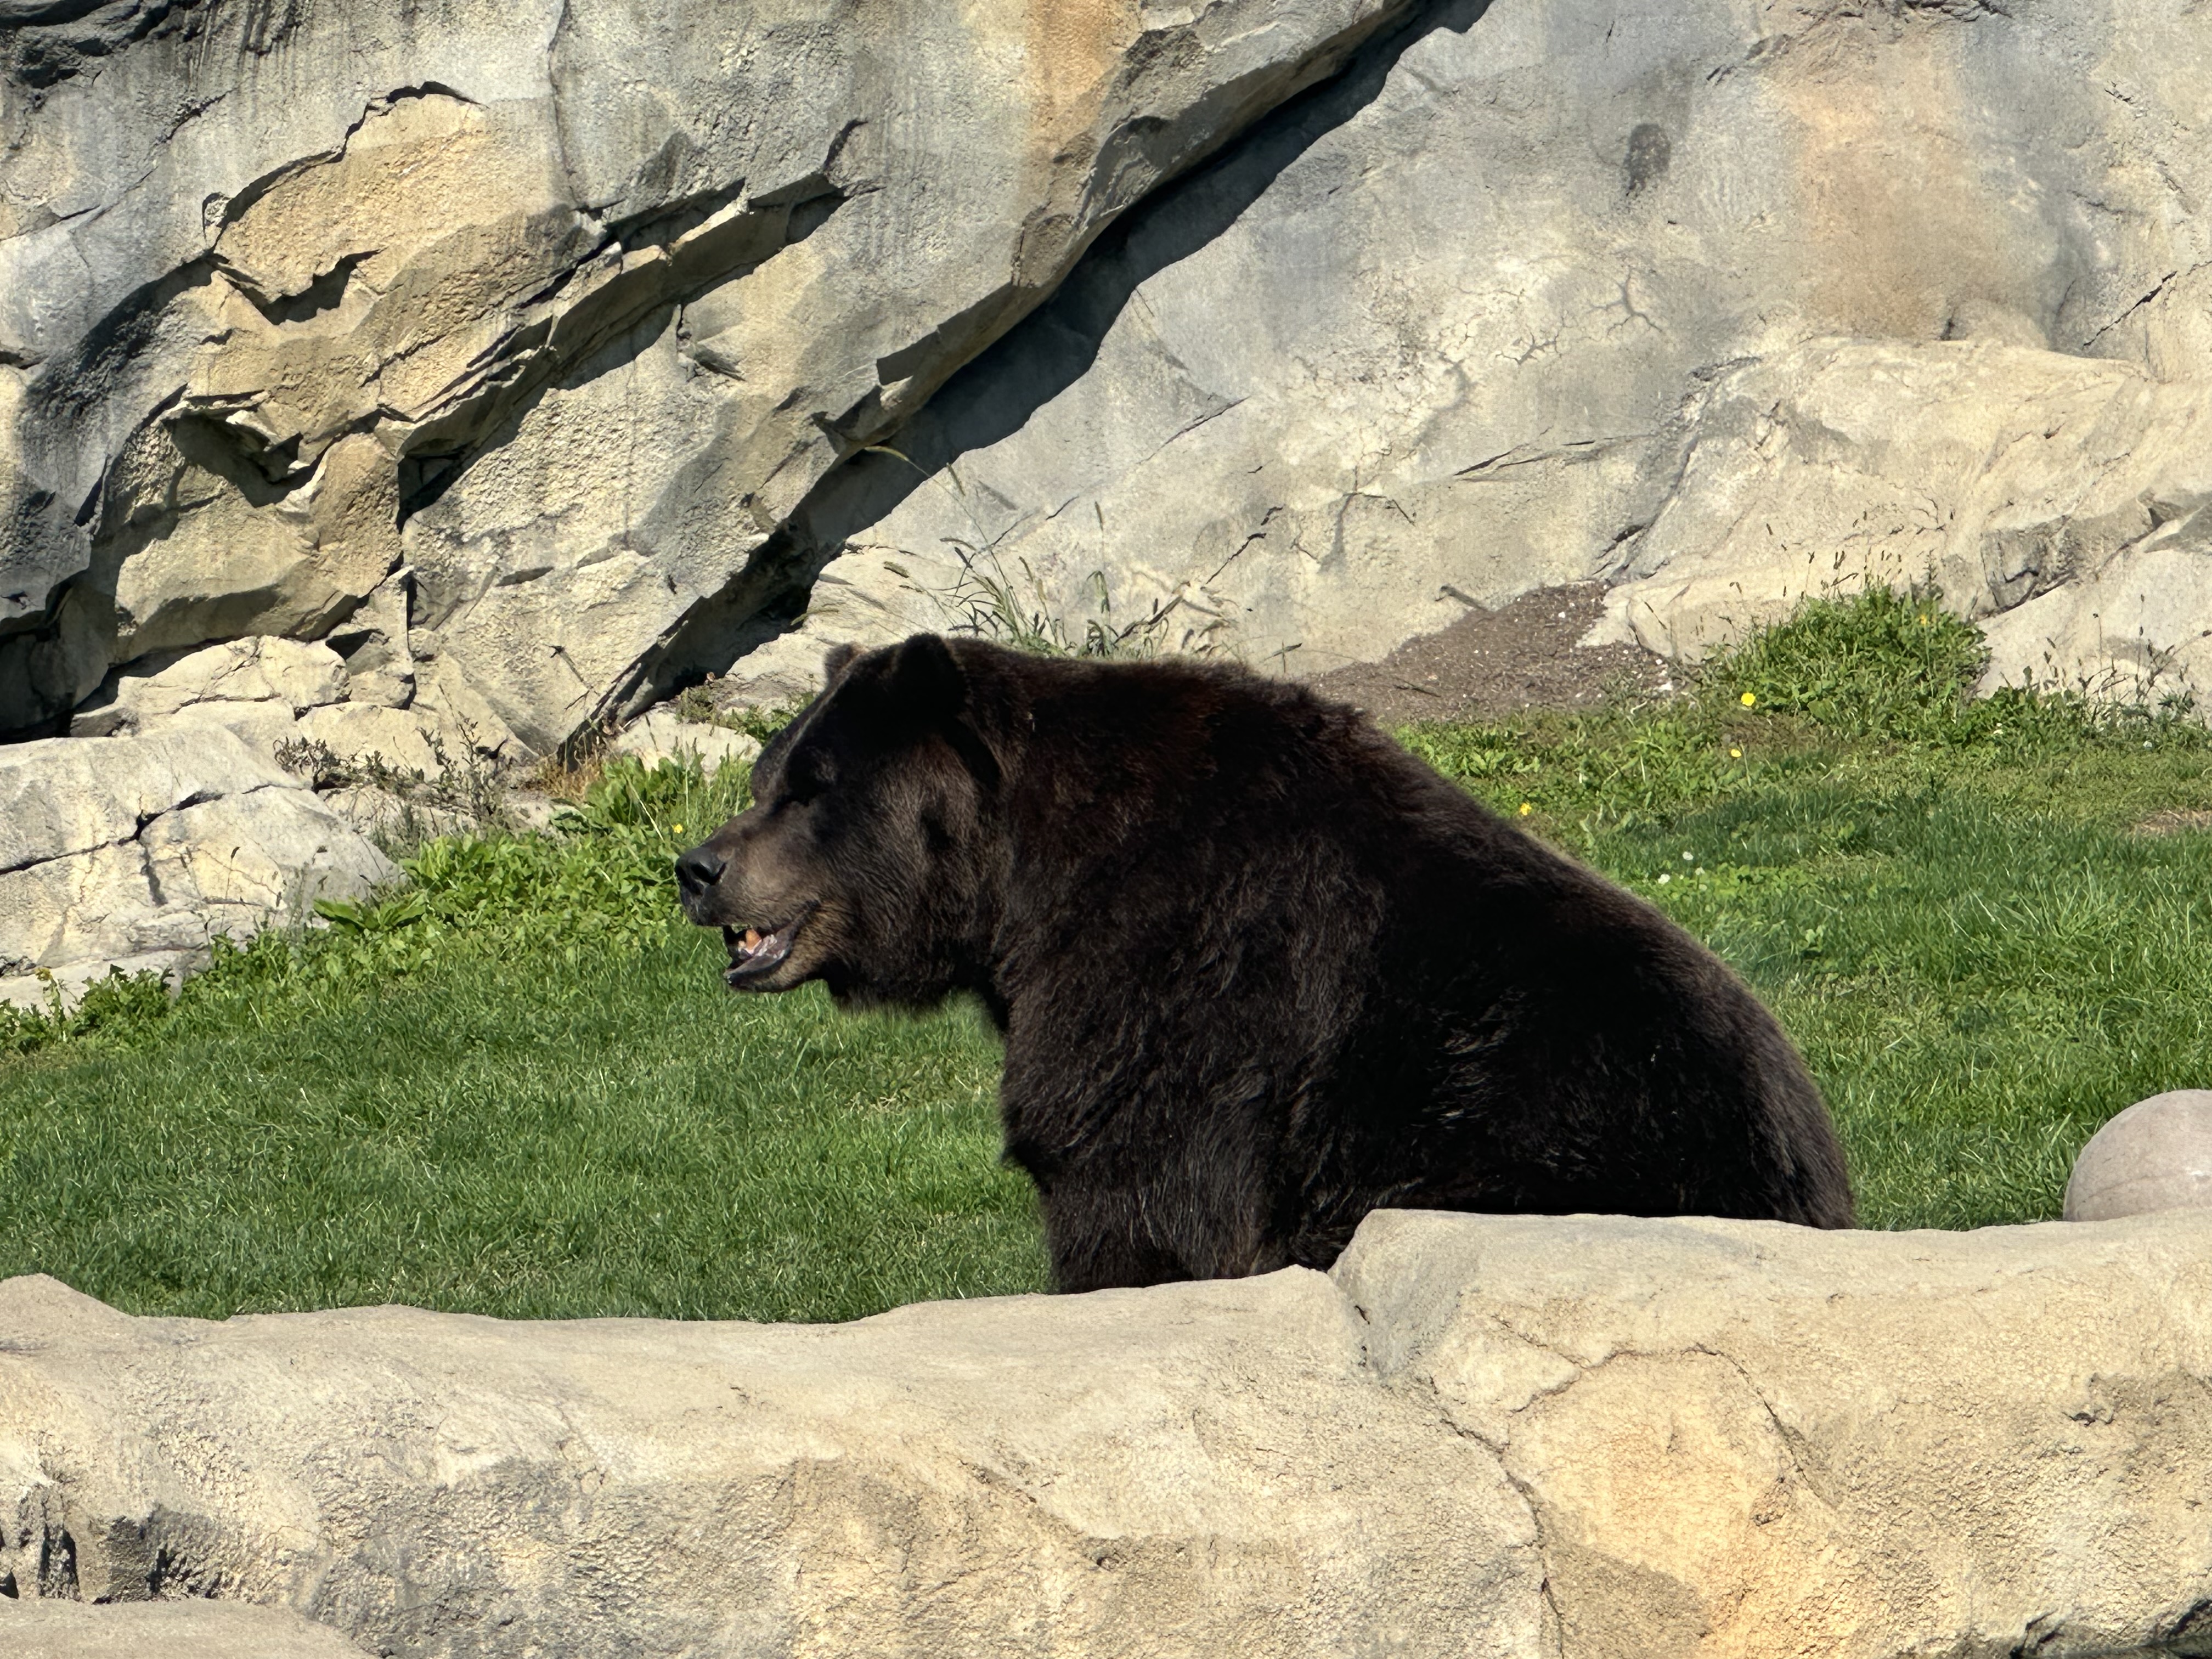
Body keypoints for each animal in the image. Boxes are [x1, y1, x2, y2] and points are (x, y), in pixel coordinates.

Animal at [668, 628, 1849, 1291]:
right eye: (768, 773)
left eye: (814, 786)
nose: (699, 866)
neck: (1019, 894)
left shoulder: (1173, 983)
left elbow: (1134, 1191)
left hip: (1544, 1148)